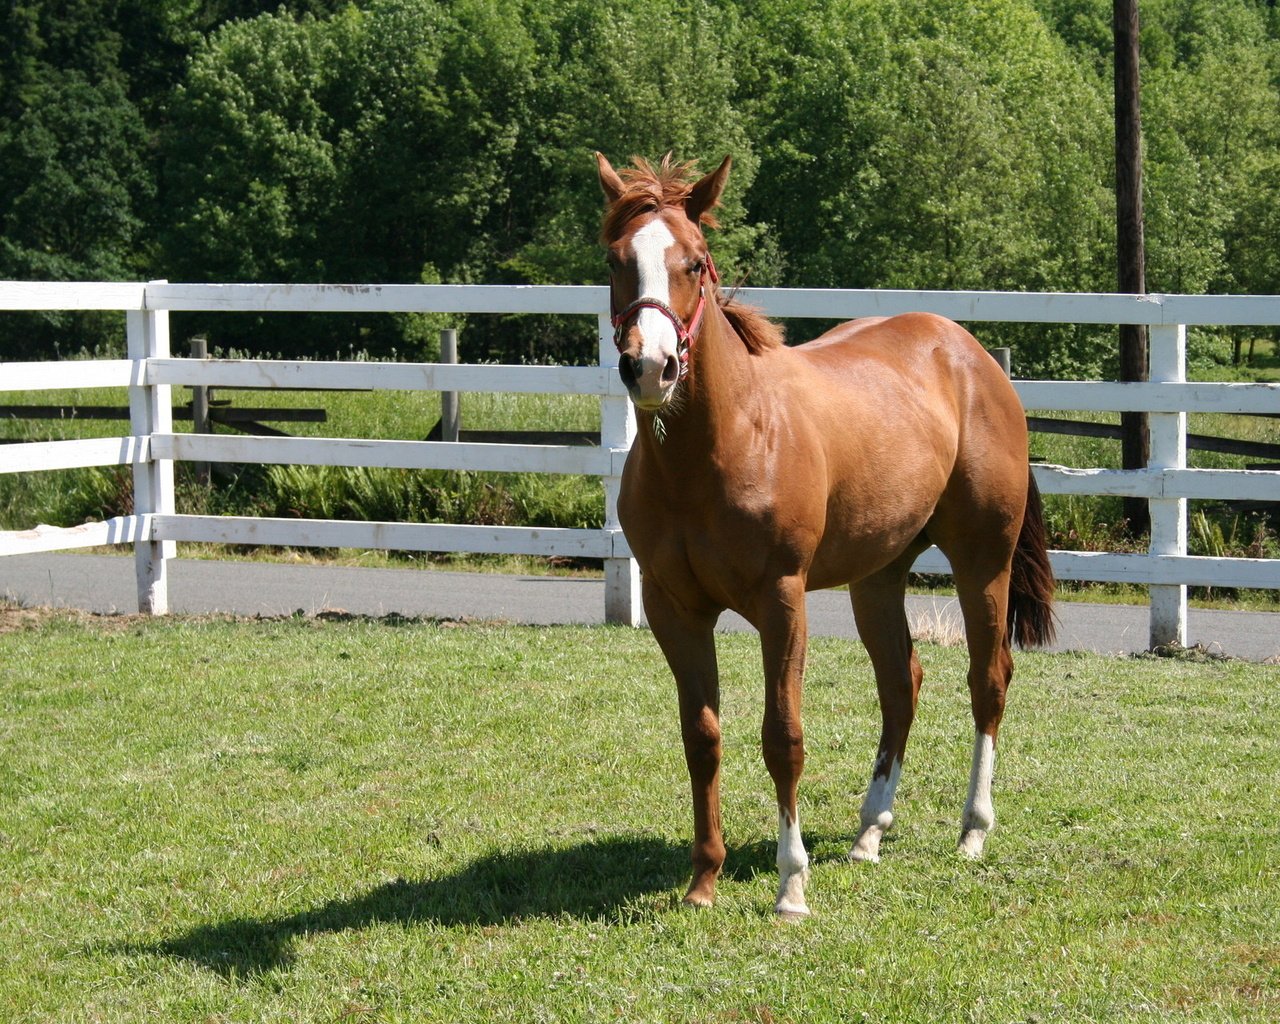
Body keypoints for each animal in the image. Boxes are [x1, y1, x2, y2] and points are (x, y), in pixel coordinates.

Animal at [593, 152, 1054, 921]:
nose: (650, 367)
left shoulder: (783, 601)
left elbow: (783, 739)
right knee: (902, 684)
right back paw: (869, 832)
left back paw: (972, 831)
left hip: (981, 561)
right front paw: (703, 880)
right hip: (878, 577)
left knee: (988, 680)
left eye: (695, 261)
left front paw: (791, 886)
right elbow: (702, 737)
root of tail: (972, 356)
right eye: (617, 259)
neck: (720, 444)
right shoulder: (673, 608)